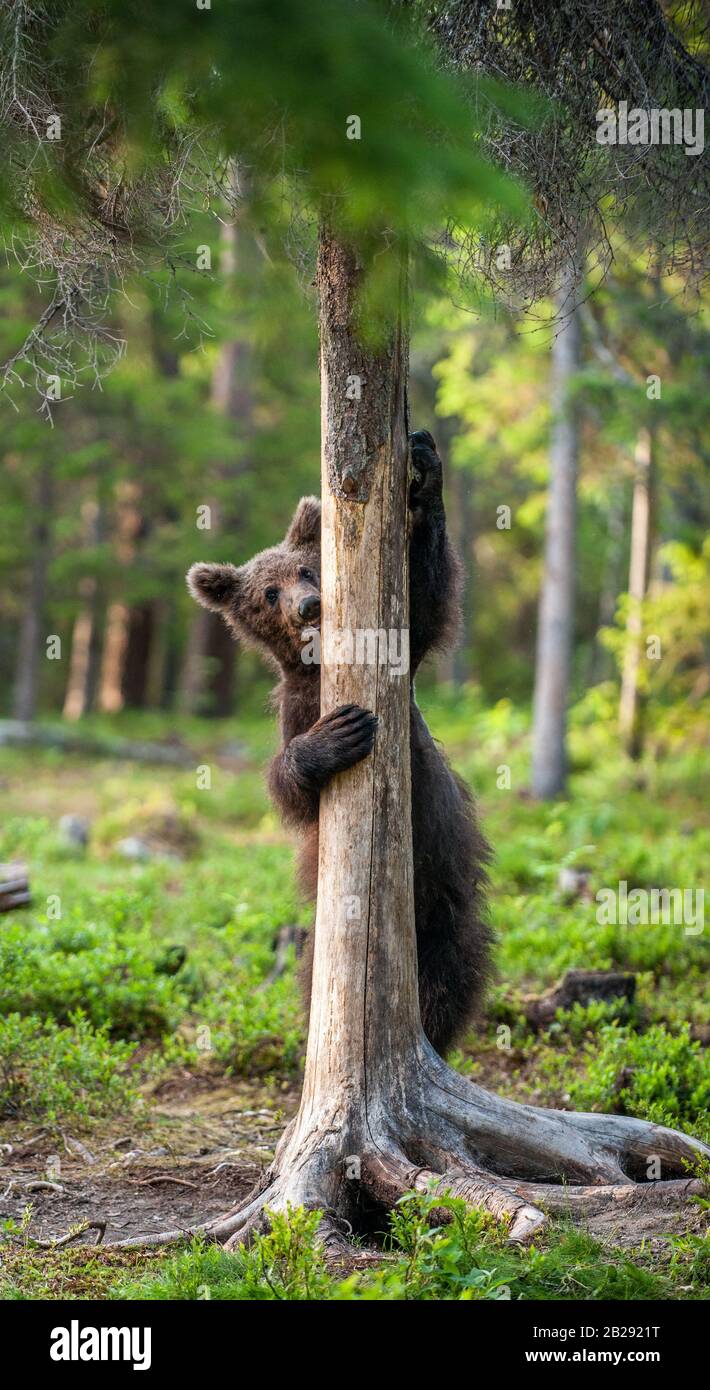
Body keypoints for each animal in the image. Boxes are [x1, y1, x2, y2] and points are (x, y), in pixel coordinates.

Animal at [187, 430, 492, 1056]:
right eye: (268, 592)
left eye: (308, 569)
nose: (309, 605)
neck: (321, 663)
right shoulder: (298, 705)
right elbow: (290, 786)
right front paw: (339, 733)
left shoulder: (402, 650)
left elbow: (427, 597)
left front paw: (425, 471)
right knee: (317, 984)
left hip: (448, 888)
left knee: (454, 972)